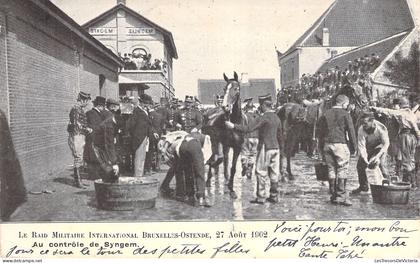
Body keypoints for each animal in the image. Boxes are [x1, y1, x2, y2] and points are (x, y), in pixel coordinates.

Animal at [202, 71, 244, 199]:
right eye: (225, 88)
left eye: (236, 88)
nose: (225, 107)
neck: (233, 123)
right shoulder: (220, 142)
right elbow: (218, 159)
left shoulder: (237, 147)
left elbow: (233, 167)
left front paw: (231, 189)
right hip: (213, 141)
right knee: (217, 157)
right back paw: (210, 178)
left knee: (223, 159)